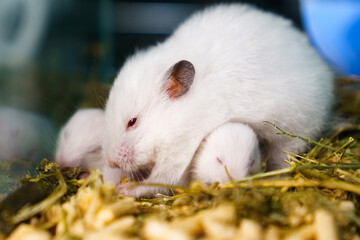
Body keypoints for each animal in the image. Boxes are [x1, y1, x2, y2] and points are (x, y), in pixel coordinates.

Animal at [104, 3, 334, 197]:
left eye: (132, 122)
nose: (111, 162)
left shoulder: (180, 152)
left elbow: (161, 179)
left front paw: (123, 188)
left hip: (294, 132)